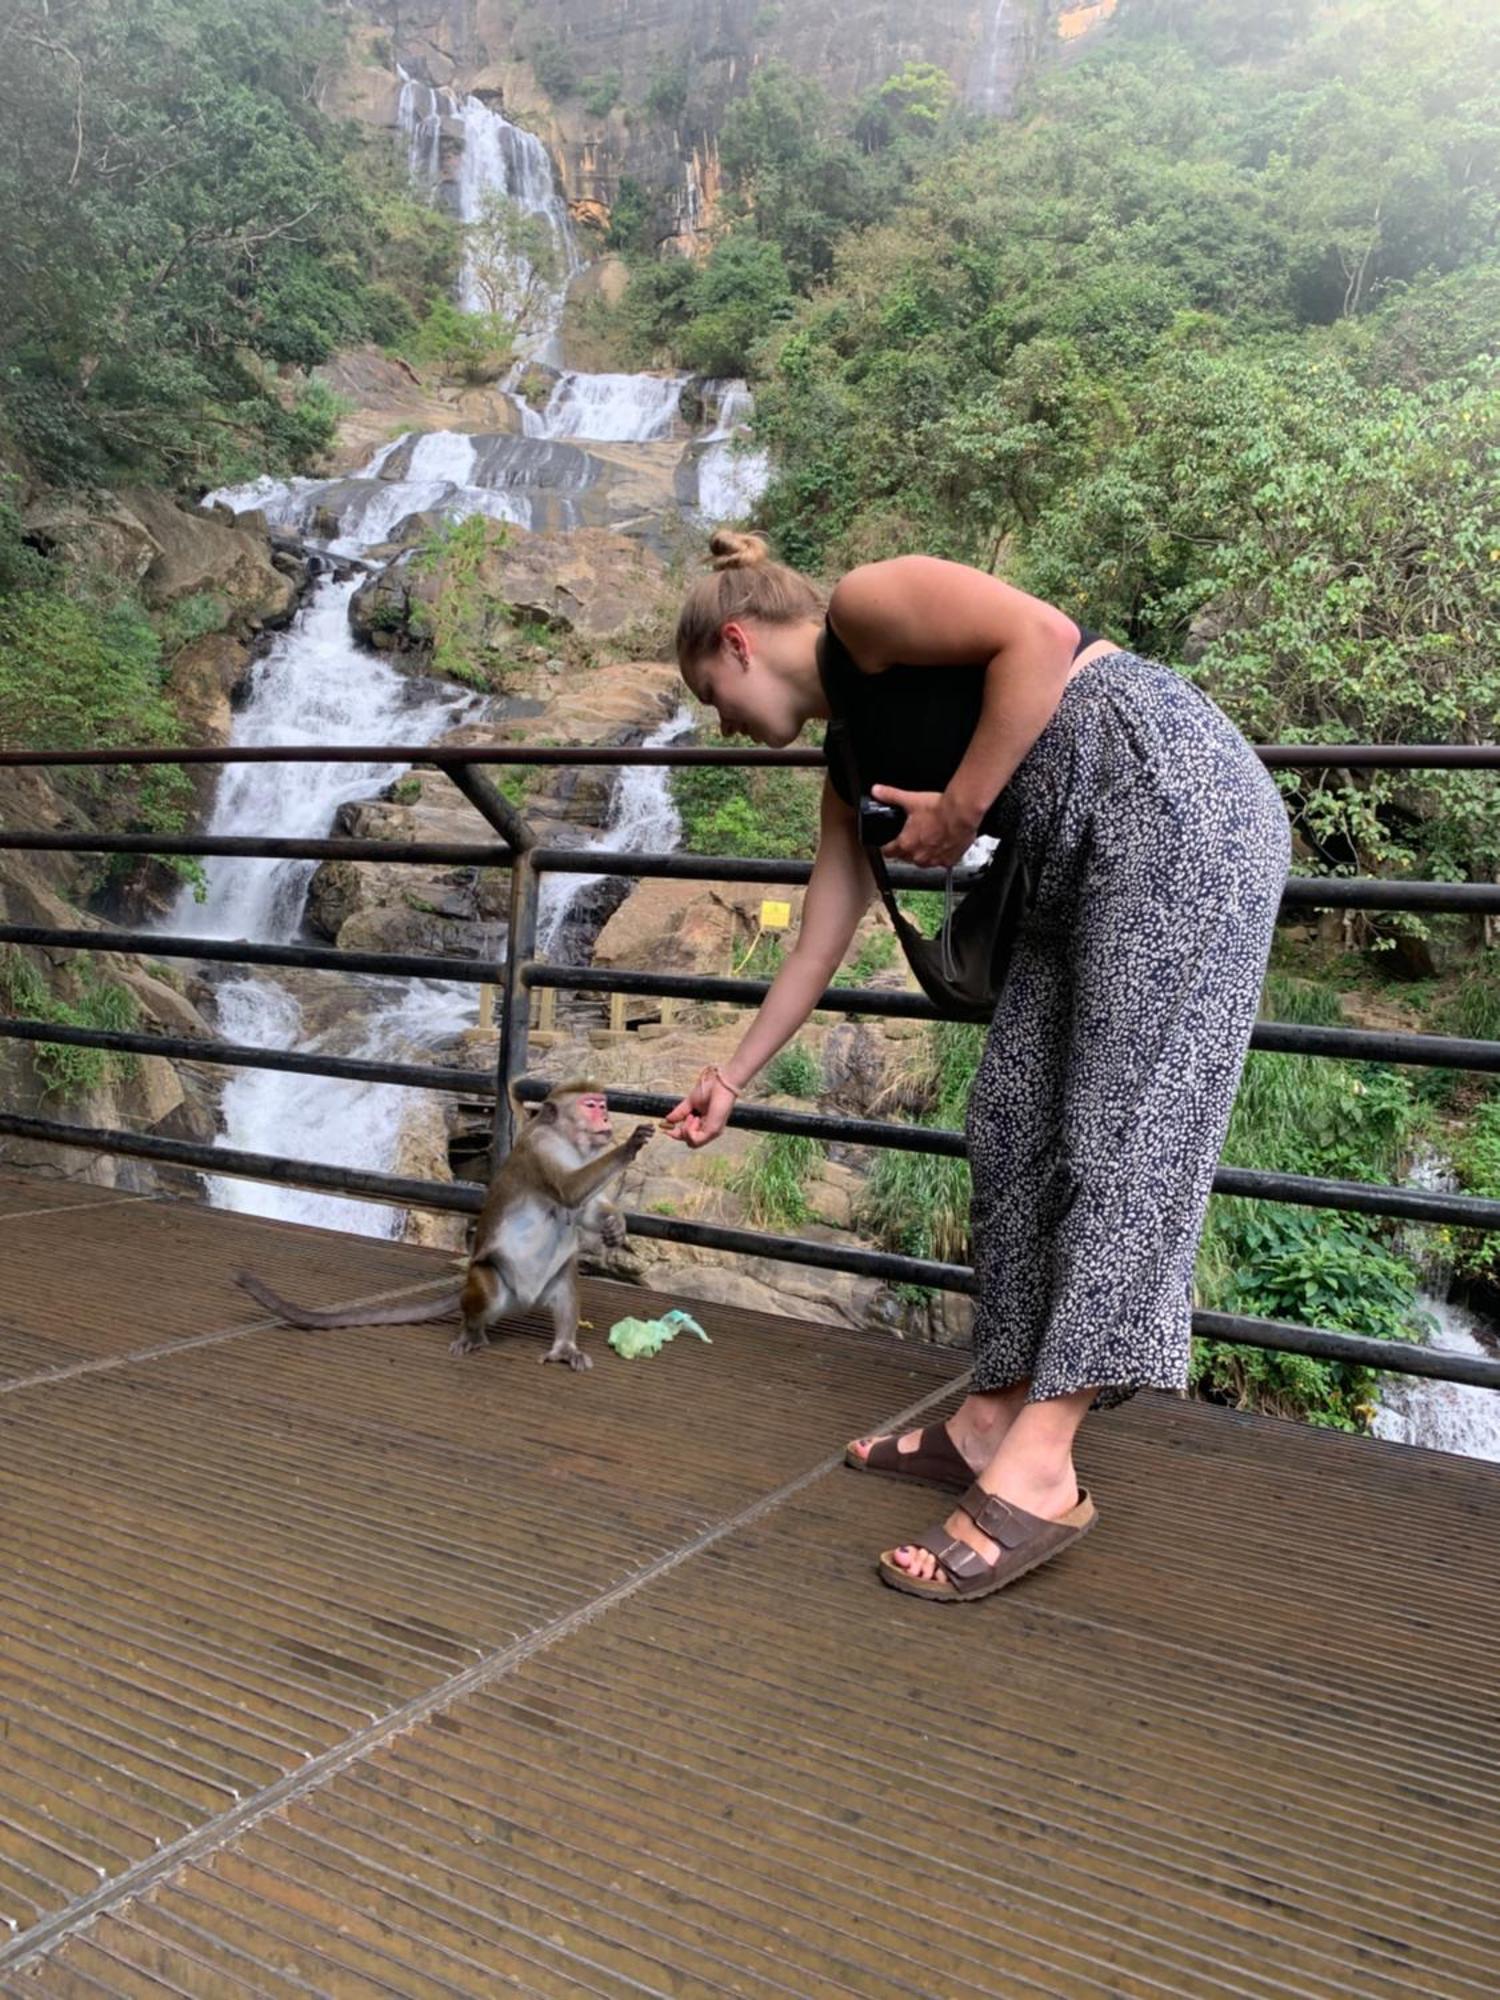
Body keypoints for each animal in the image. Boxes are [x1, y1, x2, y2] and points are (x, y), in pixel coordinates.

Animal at [235, 1080, 652, 1376]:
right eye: (590, 1106)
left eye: (603, 1105)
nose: (606, 1120)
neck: (568, 1141)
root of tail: (524, 1301)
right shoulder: (540, 1152)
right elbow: (568, 1190)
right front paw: (631, 1145)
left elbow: (582, 1209)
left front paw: (615, 1224)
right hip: (490, 1281)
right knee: (484, 1290)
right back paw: (472, 1333)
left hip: (548, 1285)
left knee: (565, 1284)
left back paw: (564, 1347)